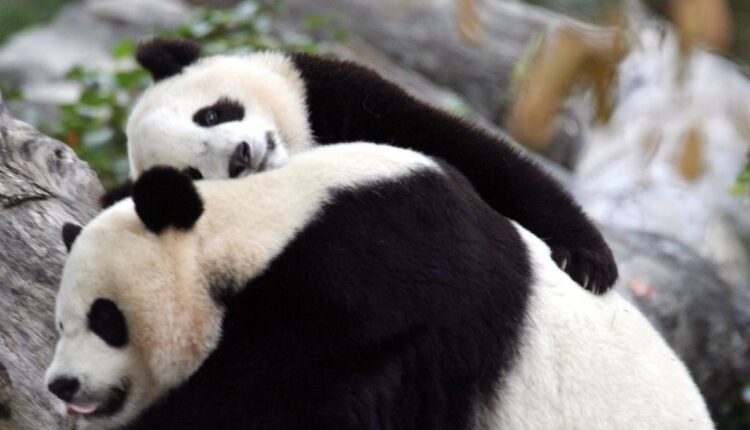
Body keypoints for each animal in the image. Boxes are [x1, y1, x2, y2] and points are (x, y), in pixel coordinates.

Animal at [106, 38, 618, 294]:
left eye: (210, 115)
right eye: (193, 173)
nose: (241, 157)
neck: (300, 146)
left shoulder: (341, 97)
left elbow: (482, 158)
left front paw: (587, 261)